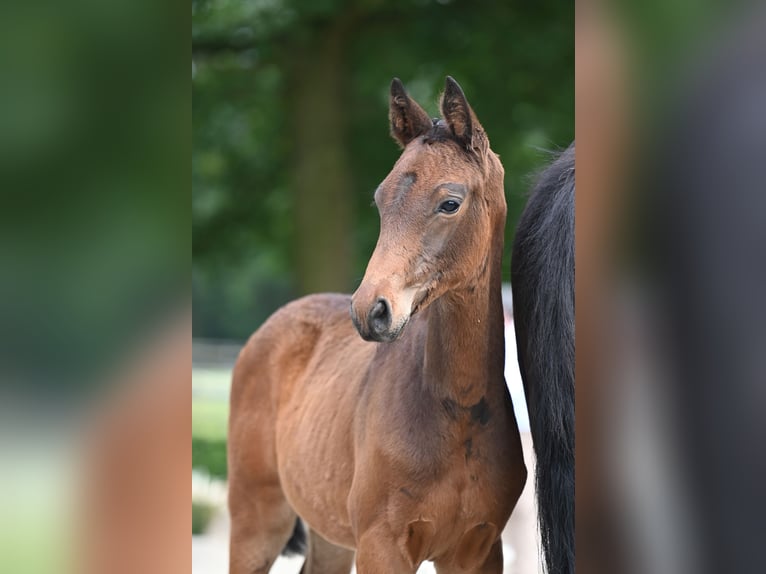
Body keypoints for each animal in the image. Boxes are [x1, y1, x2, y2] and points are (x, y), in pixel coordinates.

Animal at [228, 77, 528, 574]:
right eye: (380, 199)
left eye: (450, 203)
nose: (370, 310)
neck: (459, 411)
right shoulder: (381, 544)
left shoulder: (480, 549)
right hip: (257, 517)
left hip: (328, 530)